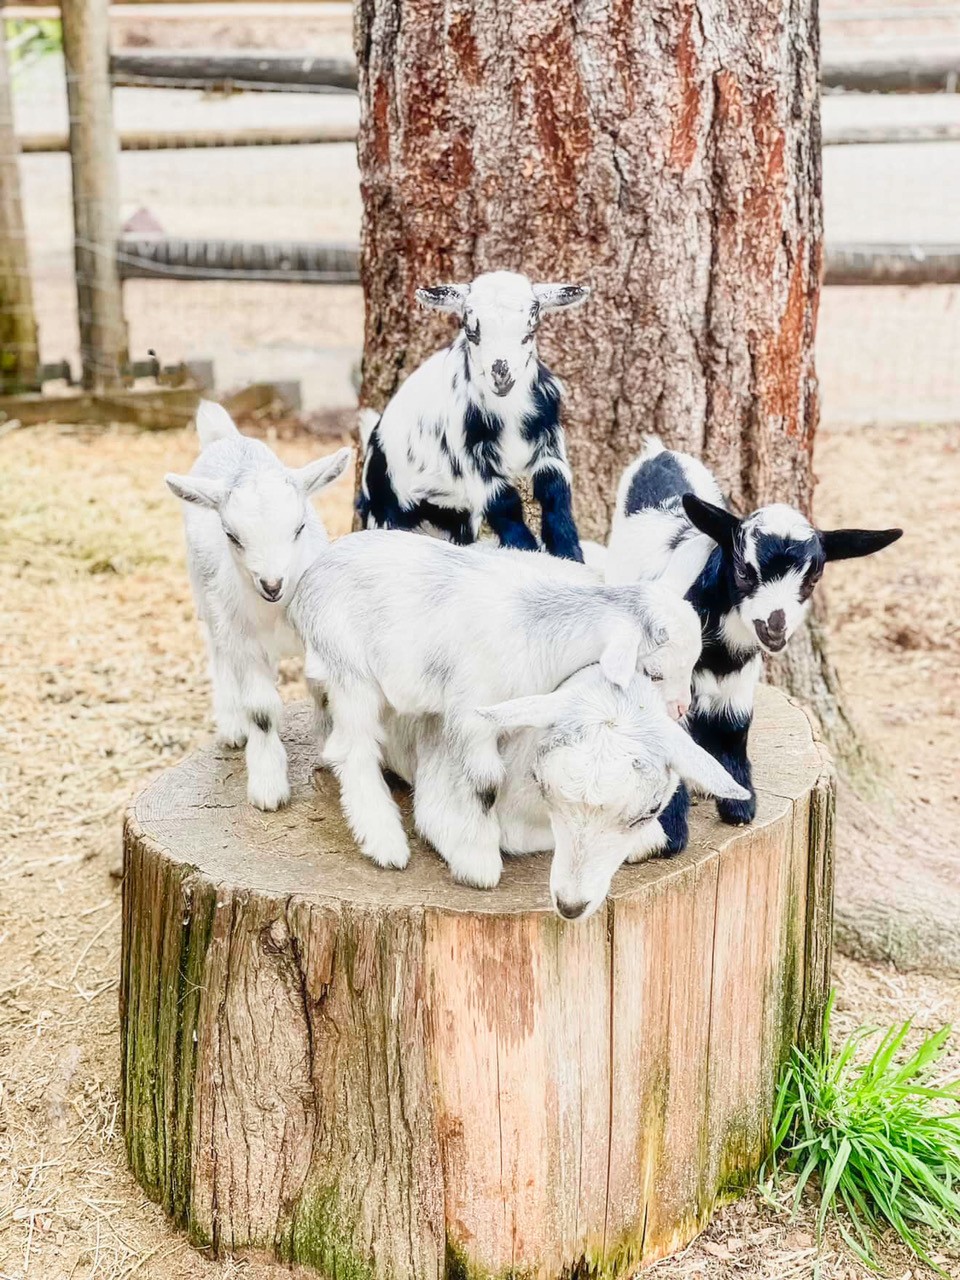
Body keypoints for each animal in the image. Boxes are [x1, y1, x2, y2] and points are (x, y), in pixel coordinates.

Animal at [165, 400, 353, 811]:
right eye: (231, 535)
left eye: (300, 527)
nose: (271, 585)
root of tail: (226, 438)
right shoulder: (245, 642)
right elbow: (262, 712)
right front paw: (268, 788)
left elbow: (323, 689)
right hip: (208, 599)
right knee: (217, 652)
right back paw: (232, 727)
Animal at [287, 530, 703, 877]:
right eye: (654, 672)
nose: (682, 710)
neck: (538, 626)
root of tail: (309, 578)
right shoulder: (470, 707)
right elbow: (482, 773)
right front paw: (480, 855)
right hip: (349, 667)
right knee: (352, 750)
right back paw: (385, 842)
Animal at [357, 270, 589, 560]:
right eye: (471, 332)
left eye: (531, 331)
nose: (502, 377)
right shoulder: (471, 458)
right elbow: (504, 501)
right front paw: (525, 549)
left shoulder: (550, 443)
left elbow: (555, 490)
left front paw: (569, 552)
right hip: (387, 508)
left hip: (452, 515)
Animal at [605, 438, 902, 847]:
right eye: (745, 571)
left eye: (812, 579)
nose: (775, 626)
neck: (719, 653)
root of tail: (660, 453)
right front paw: (667, 833)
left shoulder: (740, 682)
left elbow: (734, 729)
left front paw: (740, 804)